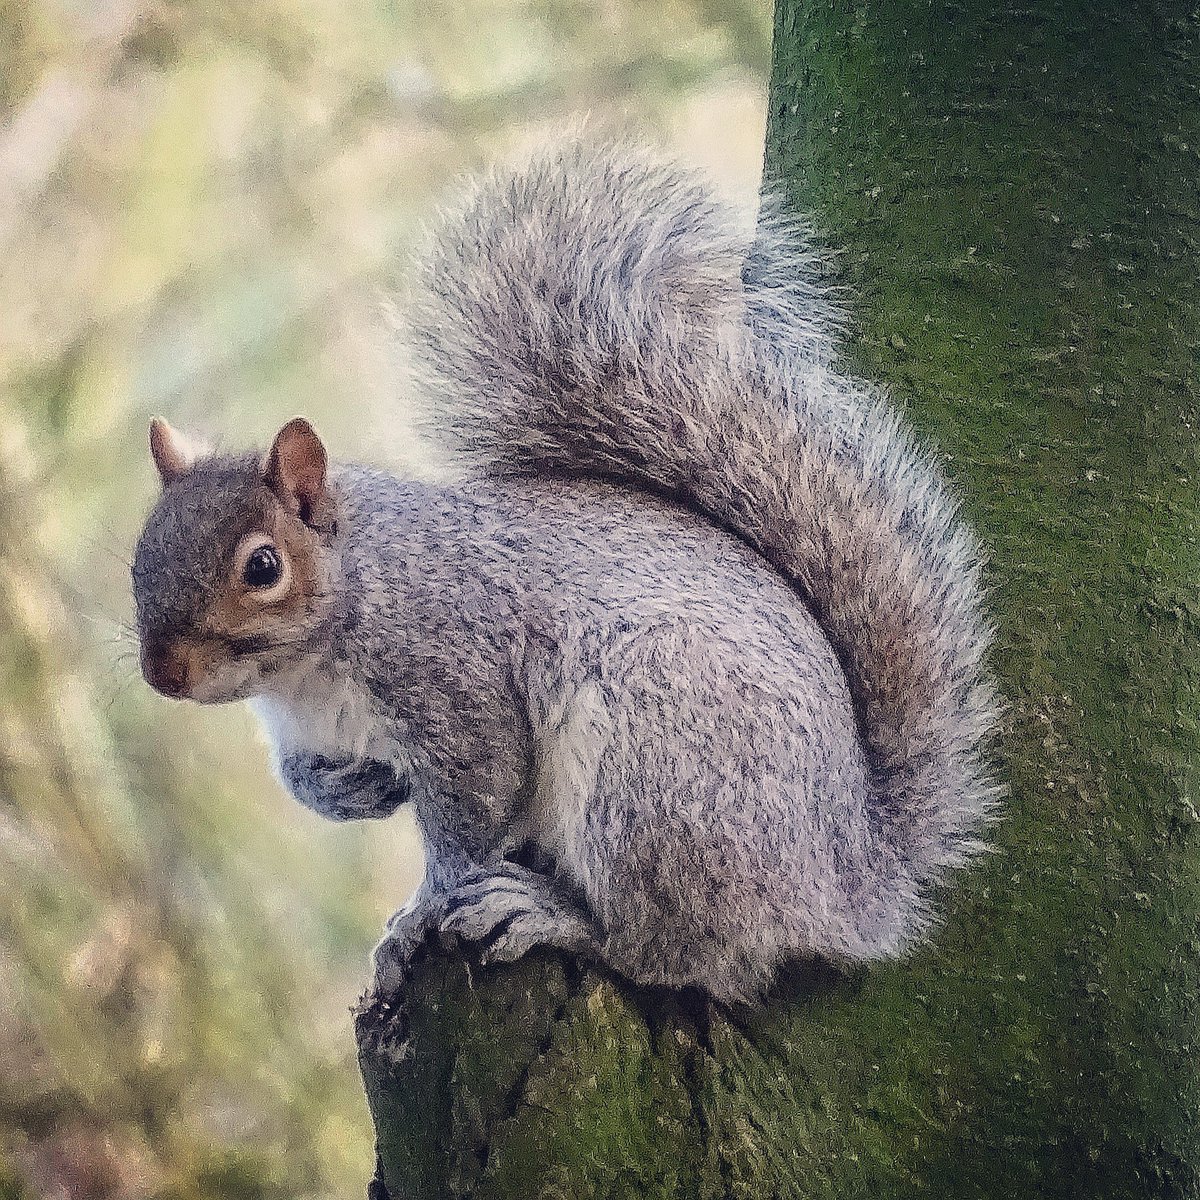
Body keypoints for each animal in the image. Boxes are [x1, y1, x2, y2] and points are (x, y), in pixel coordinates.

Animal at [131, 136, 998, 1008]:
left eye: (263, 566)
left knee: (674, 954)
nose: (164, 676)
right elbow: (305, 780)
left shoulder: (458, 684)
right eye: (139, 556)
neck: (312, 664)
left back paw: (552, 915)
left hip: (657, 768)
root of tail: (845, 881)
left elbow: (474, 814)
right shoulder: (307, 730)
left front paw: (419, 915)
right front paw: (346, 793)